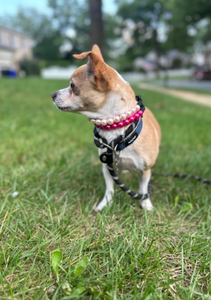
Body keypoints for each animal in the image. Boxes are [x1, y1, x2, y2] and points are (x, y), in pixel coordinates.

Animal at [52, 45, 161, 212]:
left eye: (72, 86)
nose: (52, 94)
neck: (117, 131)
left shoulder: (145, 170)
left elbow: (143, 190)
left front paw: (146, 205)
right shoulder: (107, 166)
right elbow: (109, 189)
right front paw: (105, 205)